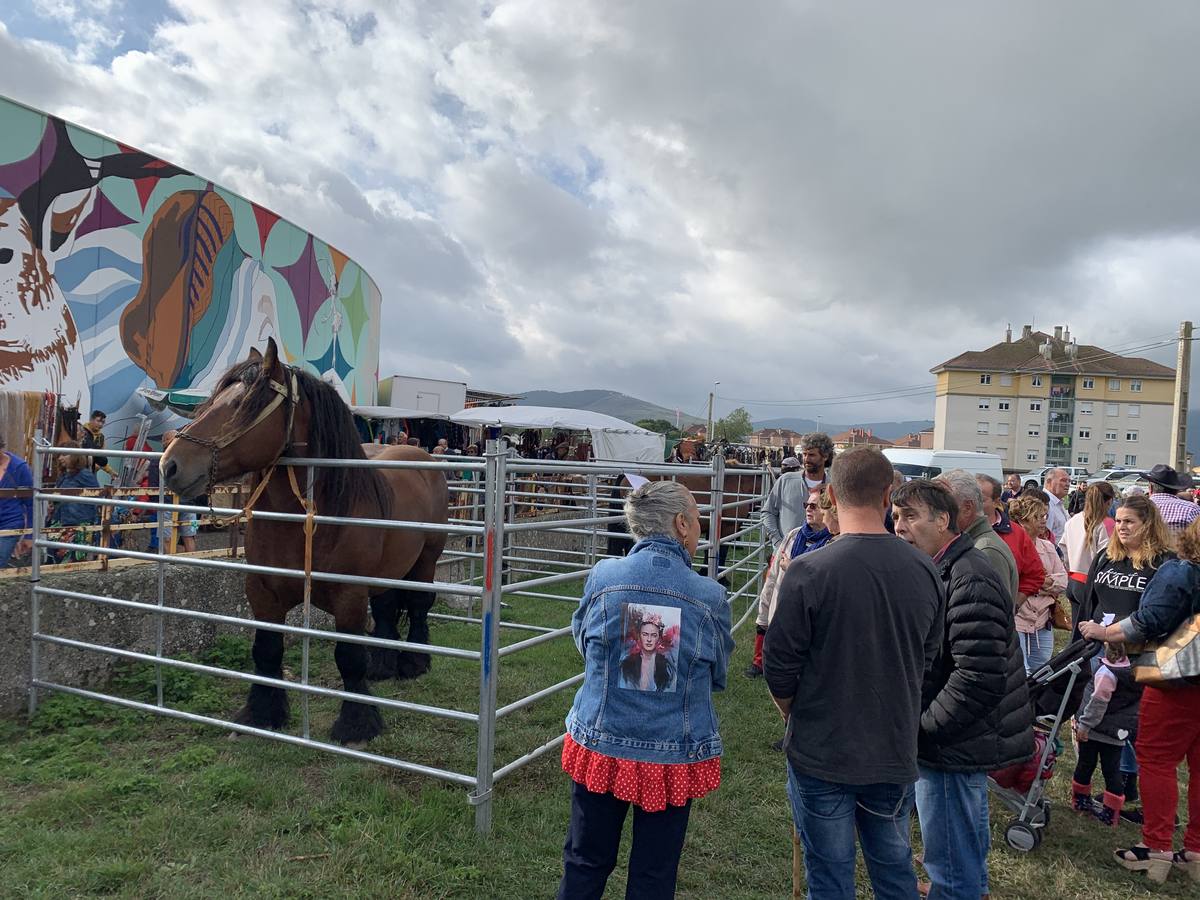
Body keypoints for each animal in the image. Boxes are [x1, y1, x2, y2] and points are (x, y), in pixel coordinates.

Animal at [164, 340, 451, 748]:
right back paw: (383, 665)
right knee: (385, 608)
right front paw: (263, 714)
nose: (169, 465)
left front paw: (357, 724)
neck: (307, 520)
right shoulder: (262, 591)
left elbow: (349, 657)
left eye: (242, 404)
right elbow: (266, 650)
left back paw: (414, 662)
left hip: (426, 559)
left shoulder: (349, 596)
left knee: (418, 605)